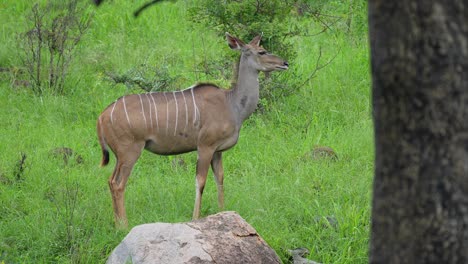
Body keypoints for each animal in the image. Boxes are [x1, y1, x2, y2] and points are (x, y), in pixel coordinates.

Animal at [98, 32, 288, 227]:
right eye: (262, 51)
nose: (285, 63)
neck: (232, 105)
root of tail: (102, 117)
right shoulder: (205, 146)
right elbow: (200, 181)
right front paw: (196, 218)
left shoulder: (218, 151)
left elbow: (220, 179)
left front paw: (223, 212)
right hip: (130, 151)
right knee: (118, 184)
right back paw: (124, 225)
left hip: (120, 156)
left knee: (110, 181)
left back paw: (117, 224)